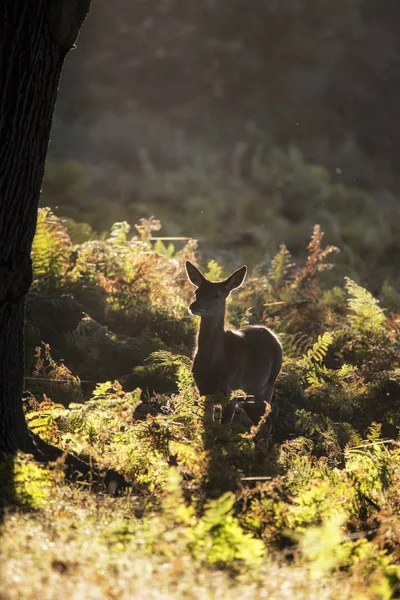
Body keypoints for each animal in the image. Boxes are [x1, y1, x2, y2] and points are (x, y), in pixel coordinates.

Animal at [184, 260, 282, 424]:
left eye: (217, 294)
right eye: (197, 292)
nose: (194, 306)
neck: (214, 364)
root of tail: (272, 335)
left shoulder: (231, 390)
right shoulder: (203, 389)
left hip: (267, 385)